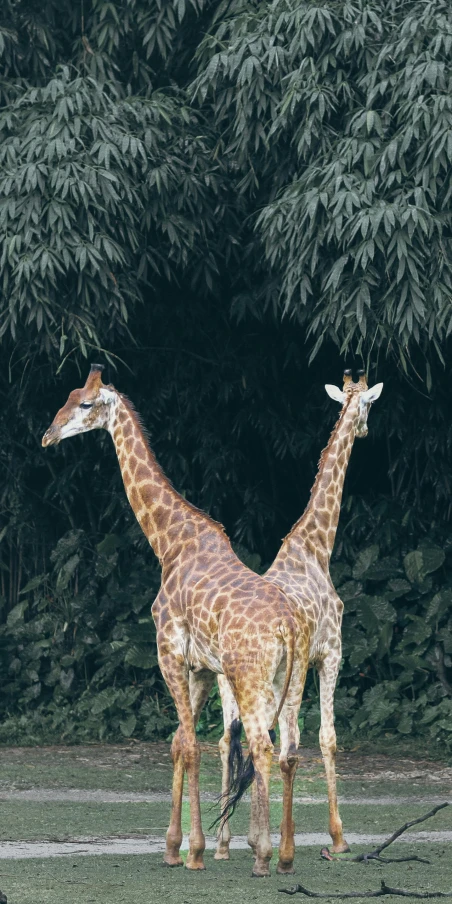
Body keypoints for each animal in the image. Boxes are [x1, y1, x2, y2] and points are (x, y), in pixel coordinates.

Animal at [42, 362, 310, 876]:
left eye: (85, 404)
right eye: (63, 397)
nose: (48, 436)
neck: (168, 541)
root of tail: (288, 626)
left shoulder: (168, 651)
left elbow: (188, 744)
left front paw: (194, 852)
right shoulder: (201, 668)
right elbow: (178, 743)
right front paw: (174, 847)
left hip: (249, 677)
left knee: (262, 746)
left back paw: (263, 856)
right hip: (292, 679)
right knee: (286, 748)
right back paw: (285, 856)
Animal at [215, 368, 382, 868]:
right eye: (368, 405)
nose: (365, 429)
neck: (314, 547)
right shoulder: (331, 655)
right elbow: (325, 739)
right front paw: (338, 838)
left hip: (230, 682)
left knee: (230, 741)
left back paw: (223, 843)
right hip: (279, 679)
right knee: (276, 746)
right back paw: (270, 846)